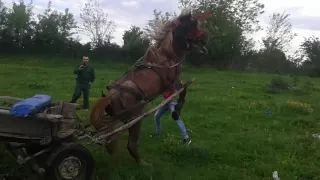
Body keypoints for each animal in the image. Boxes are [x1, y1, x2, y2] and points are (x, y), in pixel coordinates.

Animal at [89, 9, 211, 167]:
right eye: (192, 25)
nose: (205, 38)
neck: (167, 56)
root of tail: (111, 96)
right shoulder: (172, 84)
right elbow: (183, 92)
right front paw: (176, 112)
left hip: (120, 119)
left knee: (110, 136)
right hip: (136, 116)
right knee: (130, 143)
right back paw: (142, 163)